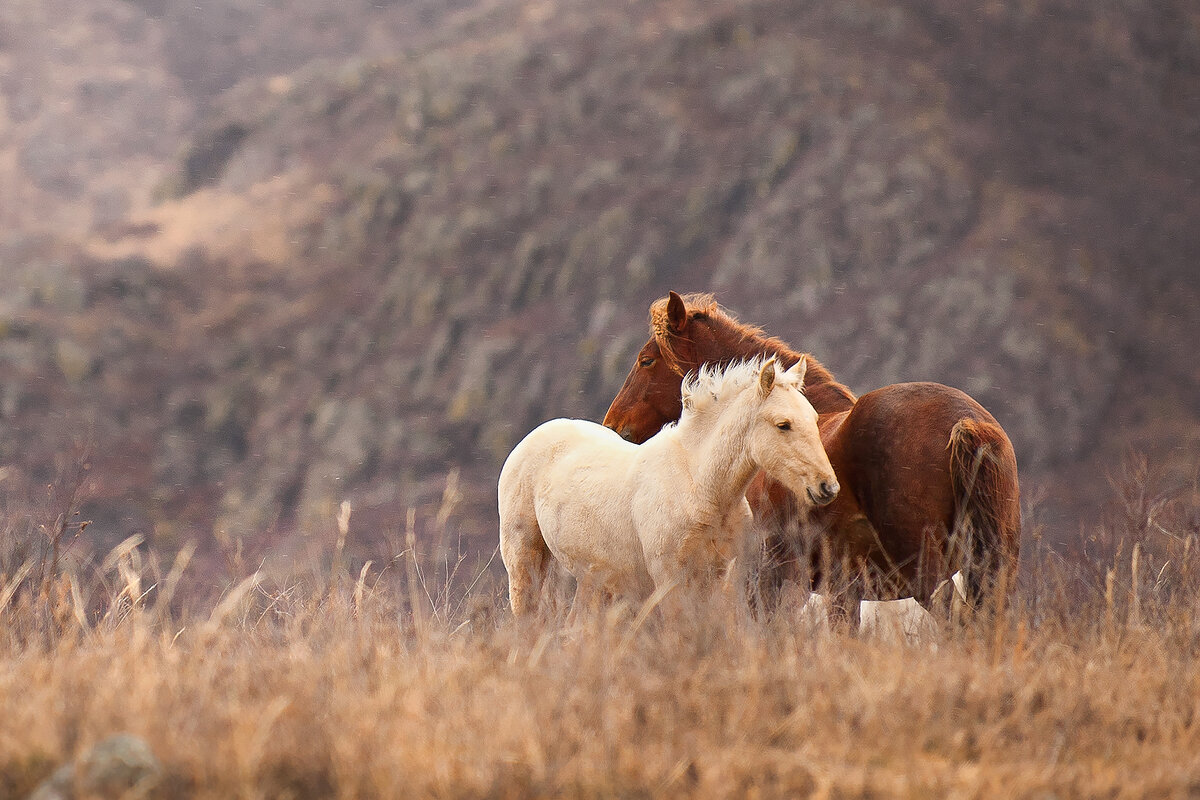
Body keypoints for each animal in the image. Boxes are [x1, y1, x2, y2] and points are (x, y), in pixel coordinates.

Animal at [494, 357, 835, 618]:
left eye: (814, 418)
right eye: (783, 424)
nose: (827, 487)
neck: (699, 485)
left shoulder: (723, 577)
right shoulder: (670, 580)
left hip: (592, 579)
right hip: (524, 561)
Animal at [604, 291, 1017, 623]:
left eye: (646, 361)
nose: (612, 426)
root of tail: (966, 421)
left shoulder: (766, 582)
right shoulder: (834, 590)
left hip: (927, 578)